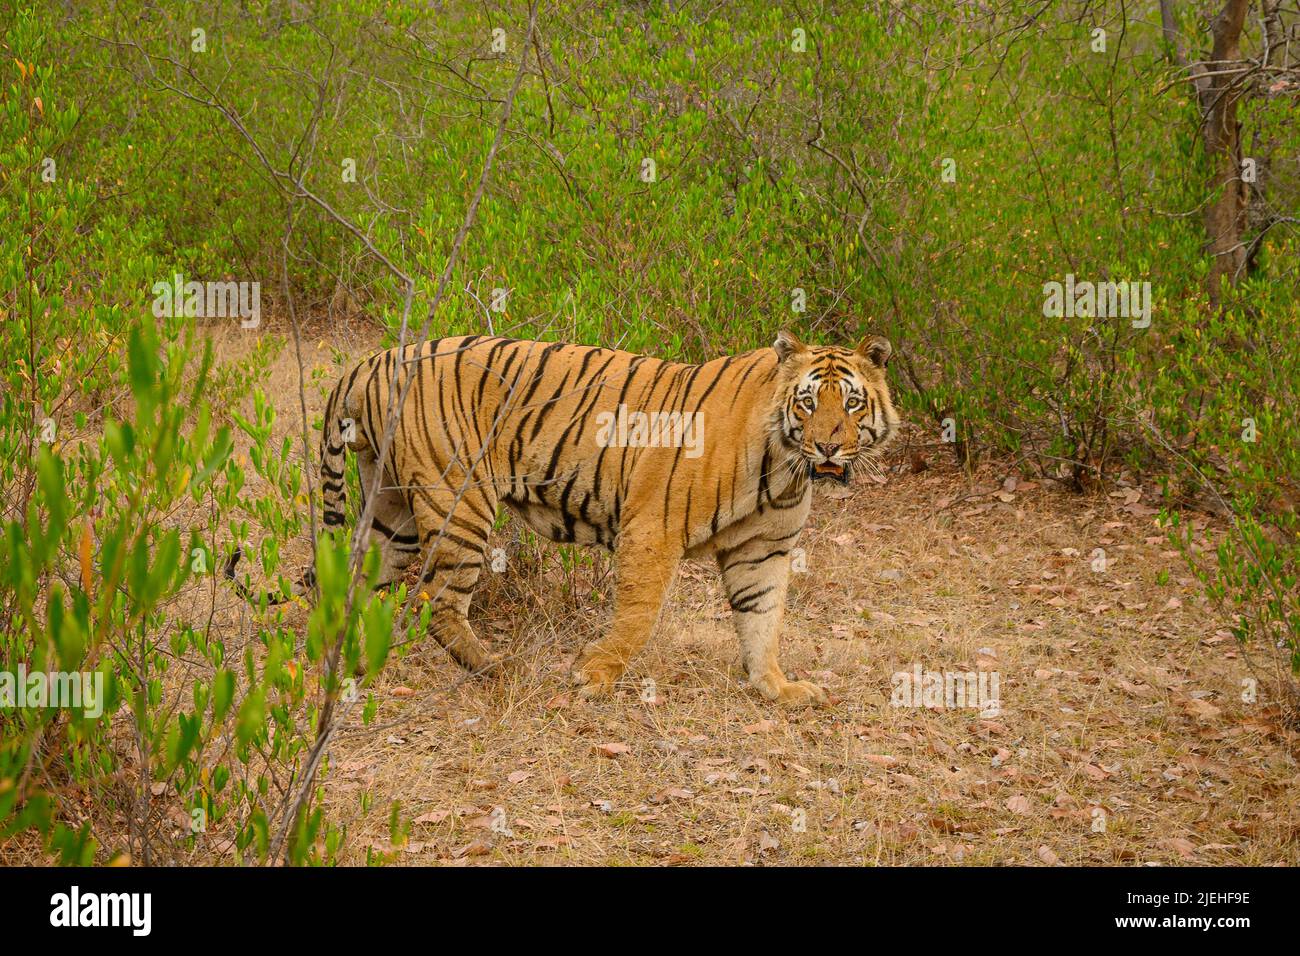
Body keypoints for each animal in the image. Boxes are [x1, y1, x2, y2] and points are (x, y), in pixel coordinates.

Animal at [225, 330, 899, 706]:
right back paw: (494, 667)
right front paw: (594, 675)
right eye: (808, 402)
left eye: (851, 404)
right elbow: (637, 616)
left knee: (353, 584)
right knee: (437, 601)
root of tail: (366, 361)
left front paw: (777, 689)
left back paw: (345, 663)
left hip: (391, 510)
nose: (828, 446)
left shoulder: (763, 549)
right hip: (457, 499)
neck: (785, 468)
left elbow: (763, 621)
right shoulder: (651, 529)